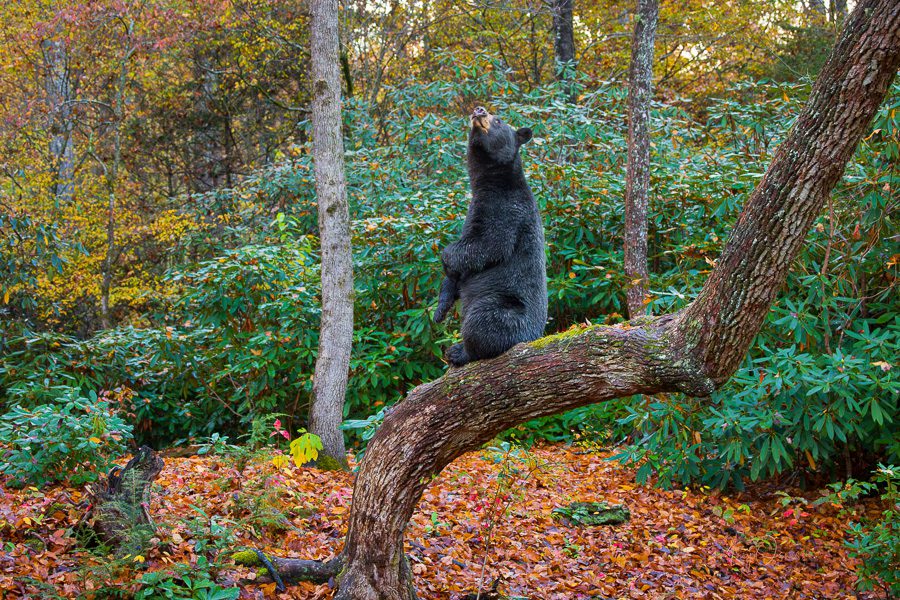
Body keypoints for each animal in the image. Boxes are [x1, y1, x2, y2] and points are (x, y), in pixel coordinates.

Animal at [436, 107, 548, 368]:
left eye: (499, 121)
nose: (480, 110)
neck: (493, 181)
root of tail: (534, 338)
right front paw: (440, 308)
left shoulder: (505, 209)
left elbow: (489, 244)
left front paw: (447, 260)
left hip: (504, 306)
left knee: (482, 321)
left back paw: (459, 352)